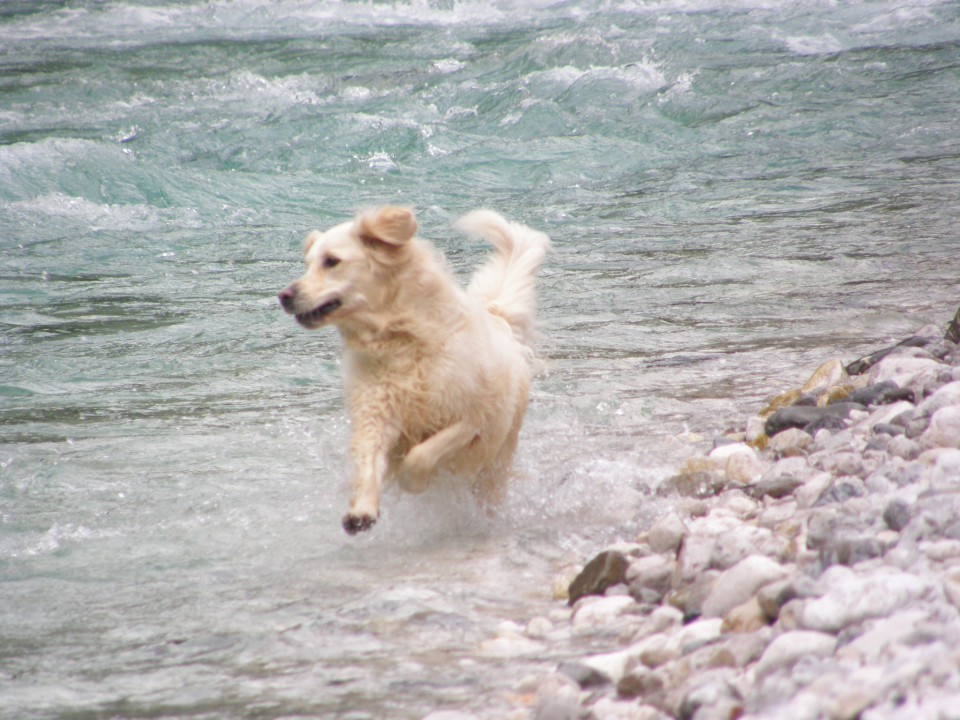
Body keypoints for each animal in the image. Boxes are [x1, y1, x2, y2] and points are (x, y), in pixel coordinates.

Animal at [278, 205, 548, 532]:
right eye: (307, 264)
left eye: (331, 261)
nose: (284, 296)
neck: (401, 339)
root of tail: (497, 316)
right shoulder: (375, 412)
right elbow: (368, 460)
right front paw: (361, 511)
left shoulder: (473, 418)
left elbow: (422, 454)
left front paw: (411, 479)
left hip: (497, 460)